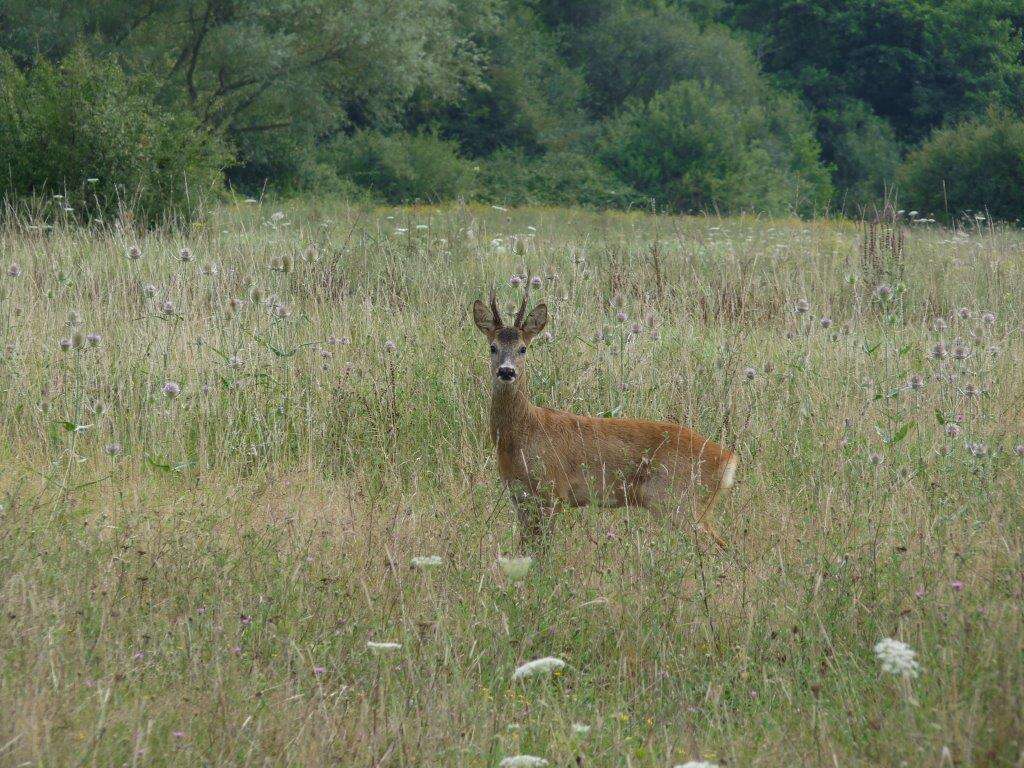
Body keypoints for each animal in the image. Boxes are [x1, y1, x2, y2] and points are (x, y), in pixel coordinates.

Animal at [471, 286, 737, 548]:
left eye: (523, 348)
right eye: (492, 347)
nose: (506, 371)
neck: (523, 433)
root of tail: (727, 459)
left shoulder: (552, 492)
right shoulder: (519, 498)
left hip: (678, 502)